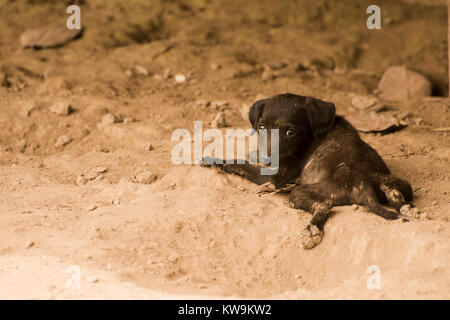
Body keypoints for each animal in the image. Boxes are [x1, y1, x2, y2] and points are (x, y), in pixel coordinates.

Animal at [204, 94, 414, 249]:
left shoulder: (273, 176)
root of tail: (362, 183)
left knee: (323, 206)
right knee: (397, 191)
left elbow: (240, 163)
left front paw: (214, 160)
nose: (267, 159)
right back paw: (403, 204)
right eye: (261, 127)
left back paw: (312, 230)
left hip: (301, 193)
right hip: (398, 182)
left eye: (290, 132)